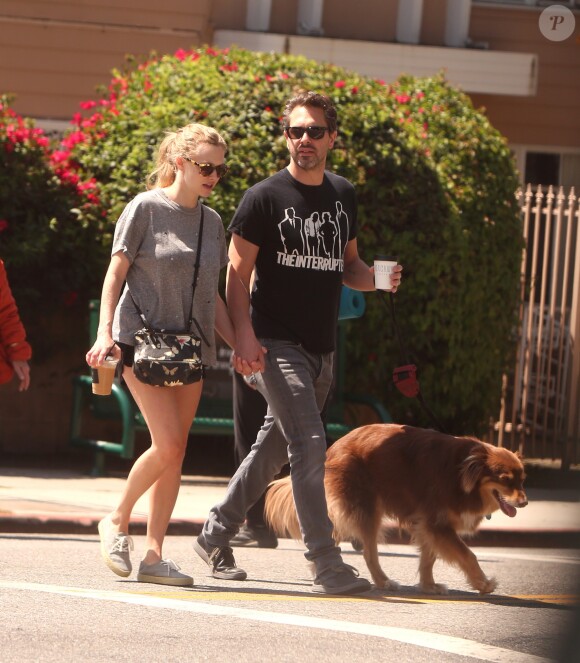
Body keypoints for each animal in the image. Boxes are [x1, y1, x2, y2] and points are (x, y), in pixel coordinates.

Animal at [266, 426, 528, 596]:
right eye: (505, 480)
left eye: (522, 479)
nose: (525, 502)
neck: (463, 473)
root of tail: (332, 448)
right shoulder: (437, 523)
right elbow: (467, 555)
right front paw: (483, 584)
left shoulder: (429, 525)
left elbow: (429, 558)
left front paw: (429, 586)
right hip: (367, 509)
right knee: (368, 552)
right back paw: (382, 582)